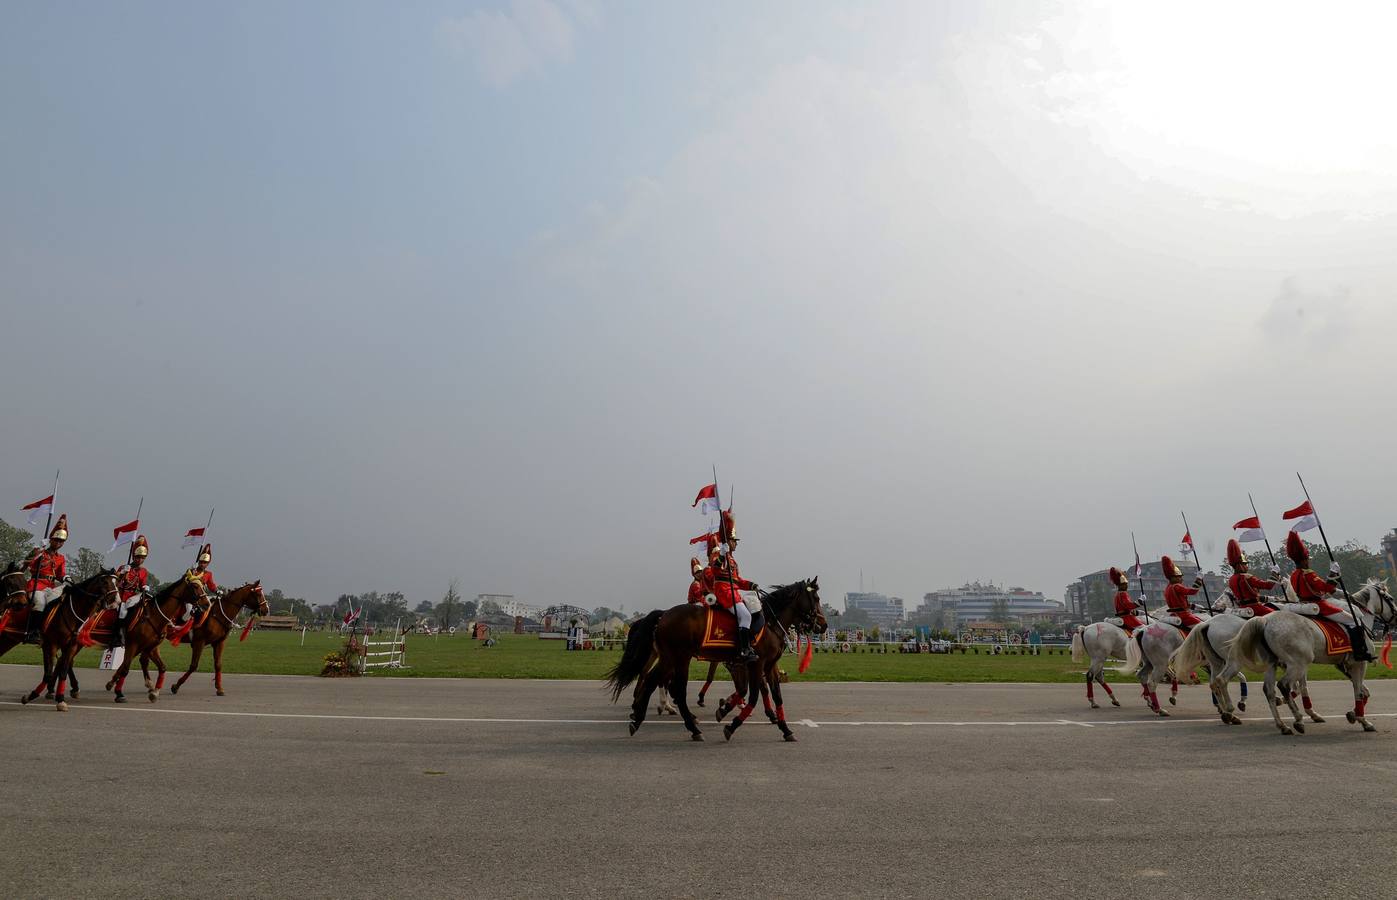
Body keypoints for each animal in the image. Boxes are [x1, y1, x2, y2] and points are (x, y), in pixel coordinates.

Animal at [18, 572, 120, 712]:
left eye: (117, 582)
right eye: (105, 582)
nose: (117, 601)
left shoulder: (71, 645)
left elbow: (63, 671)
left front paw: (60, 699)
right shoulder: (52, 644)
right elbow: (48, 673)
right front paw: (31, 695)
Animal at [101, 575, 203, 704]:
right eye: (195, 586)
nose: (205, 605)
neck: (154, 616)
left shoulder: (151, 646)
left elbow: (160, 666)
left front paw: (154, 691)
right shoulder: (133, 644)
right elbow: (126, 668)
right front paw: (119, 693)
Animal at [606, 581, 821, 743]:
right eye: (816, 599)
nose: (822, 625)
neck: (769, 623)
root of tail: (664, 615)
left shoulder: (767, 666)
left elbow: (775, 695)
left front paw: (785, 729)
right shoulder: (754, 664)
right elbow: (753, 695)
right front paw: (731, 723)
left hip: (669, 658)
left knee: (653, 680)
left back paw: (639, 718)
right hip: (679, 658)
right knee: (674, 689)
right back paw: (689, 726)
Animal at [1229, 581, 1391, 732]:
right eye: (1389, 598)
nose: (1394, 618)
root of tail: (1265, 620)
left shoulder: (1343, 665)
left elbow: (1363, 691)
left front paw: (1353, 714)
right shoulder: (1359, 663)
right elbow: (1359, 691)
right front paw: (1363, 720)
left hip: (1275, 663)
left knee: (1268, 689)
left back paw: (1282, 725)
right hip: (1298, 663)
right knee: (1282, 685)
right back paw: (1297, 719)